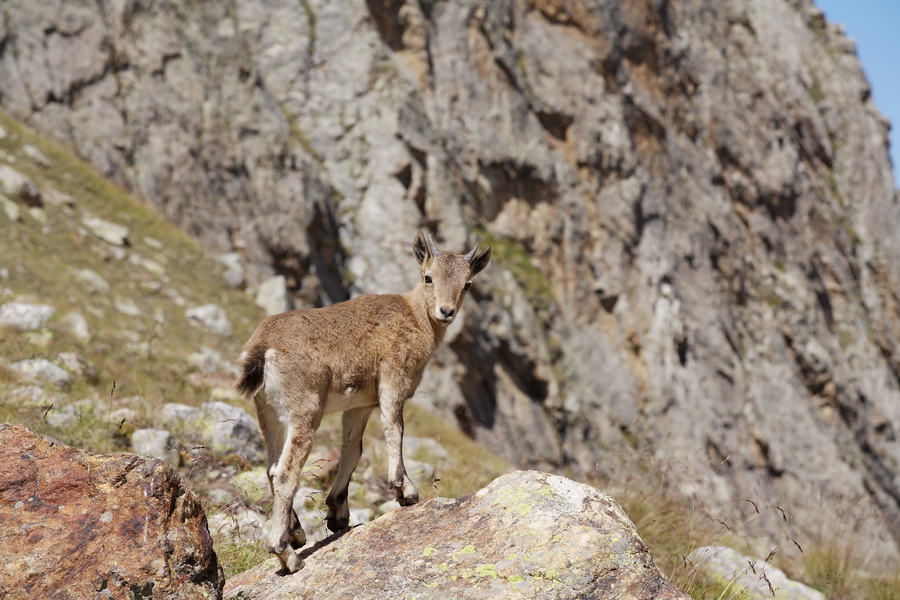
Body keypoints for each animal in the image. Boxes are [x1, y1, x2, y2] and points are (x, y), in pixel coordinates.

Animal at [232, 230, 486, 572]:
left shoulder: (358, 406)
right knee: (285, 473)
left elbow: (353, 451)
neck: (415, 317)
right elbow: (395, 427)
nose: (446, 312)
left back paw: (296, 533)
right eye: (428, 277)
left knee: (272, 468)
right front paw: (405, 490)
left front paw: (337, 512)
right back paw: (287, 554)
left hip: (268, 413)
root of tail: (261, 348)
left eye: (467, 283)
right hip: (305, 411)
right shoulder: (393, 375)